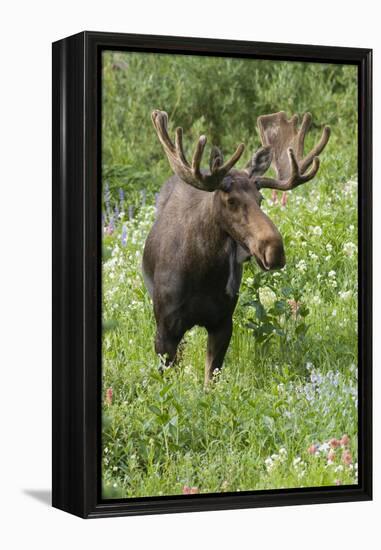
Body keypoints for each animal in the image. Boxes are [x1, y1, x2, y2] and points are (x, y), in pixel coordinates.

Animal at [142, 110, 330, 386]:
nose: (274, 249)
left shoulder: (223, 322)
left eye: (260, 199)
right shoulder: (165, 328)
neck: (203, 274)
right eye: (231, 201)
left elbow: (211, 380)